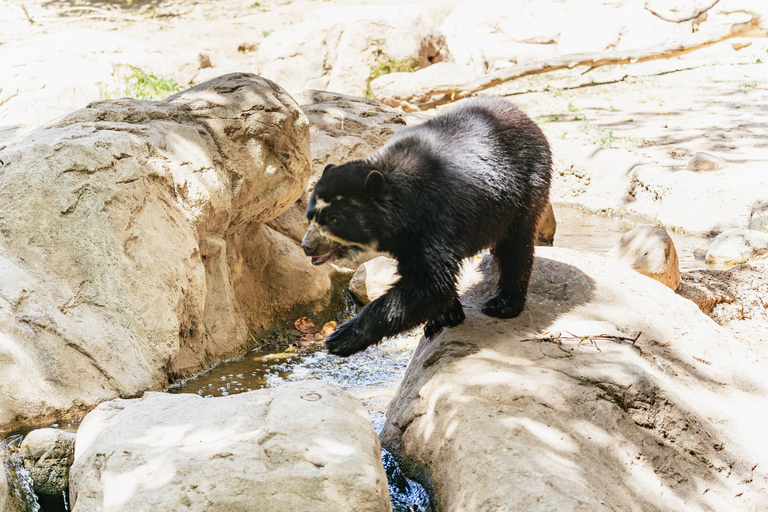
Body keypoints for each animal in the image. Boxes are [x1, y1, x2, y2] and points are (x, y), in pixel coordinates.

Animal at [300, 96, 552, 356]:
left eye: (333, 220)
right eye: (310, 216)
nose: (307, 246)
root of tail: (522, 113)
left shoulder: (437, 219)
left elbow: (429, 283)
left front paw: (340, 337)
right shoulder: (406, 238)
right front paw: (446, 316)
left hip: (525, 190)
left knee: (516, 246)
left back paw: (504, 304)